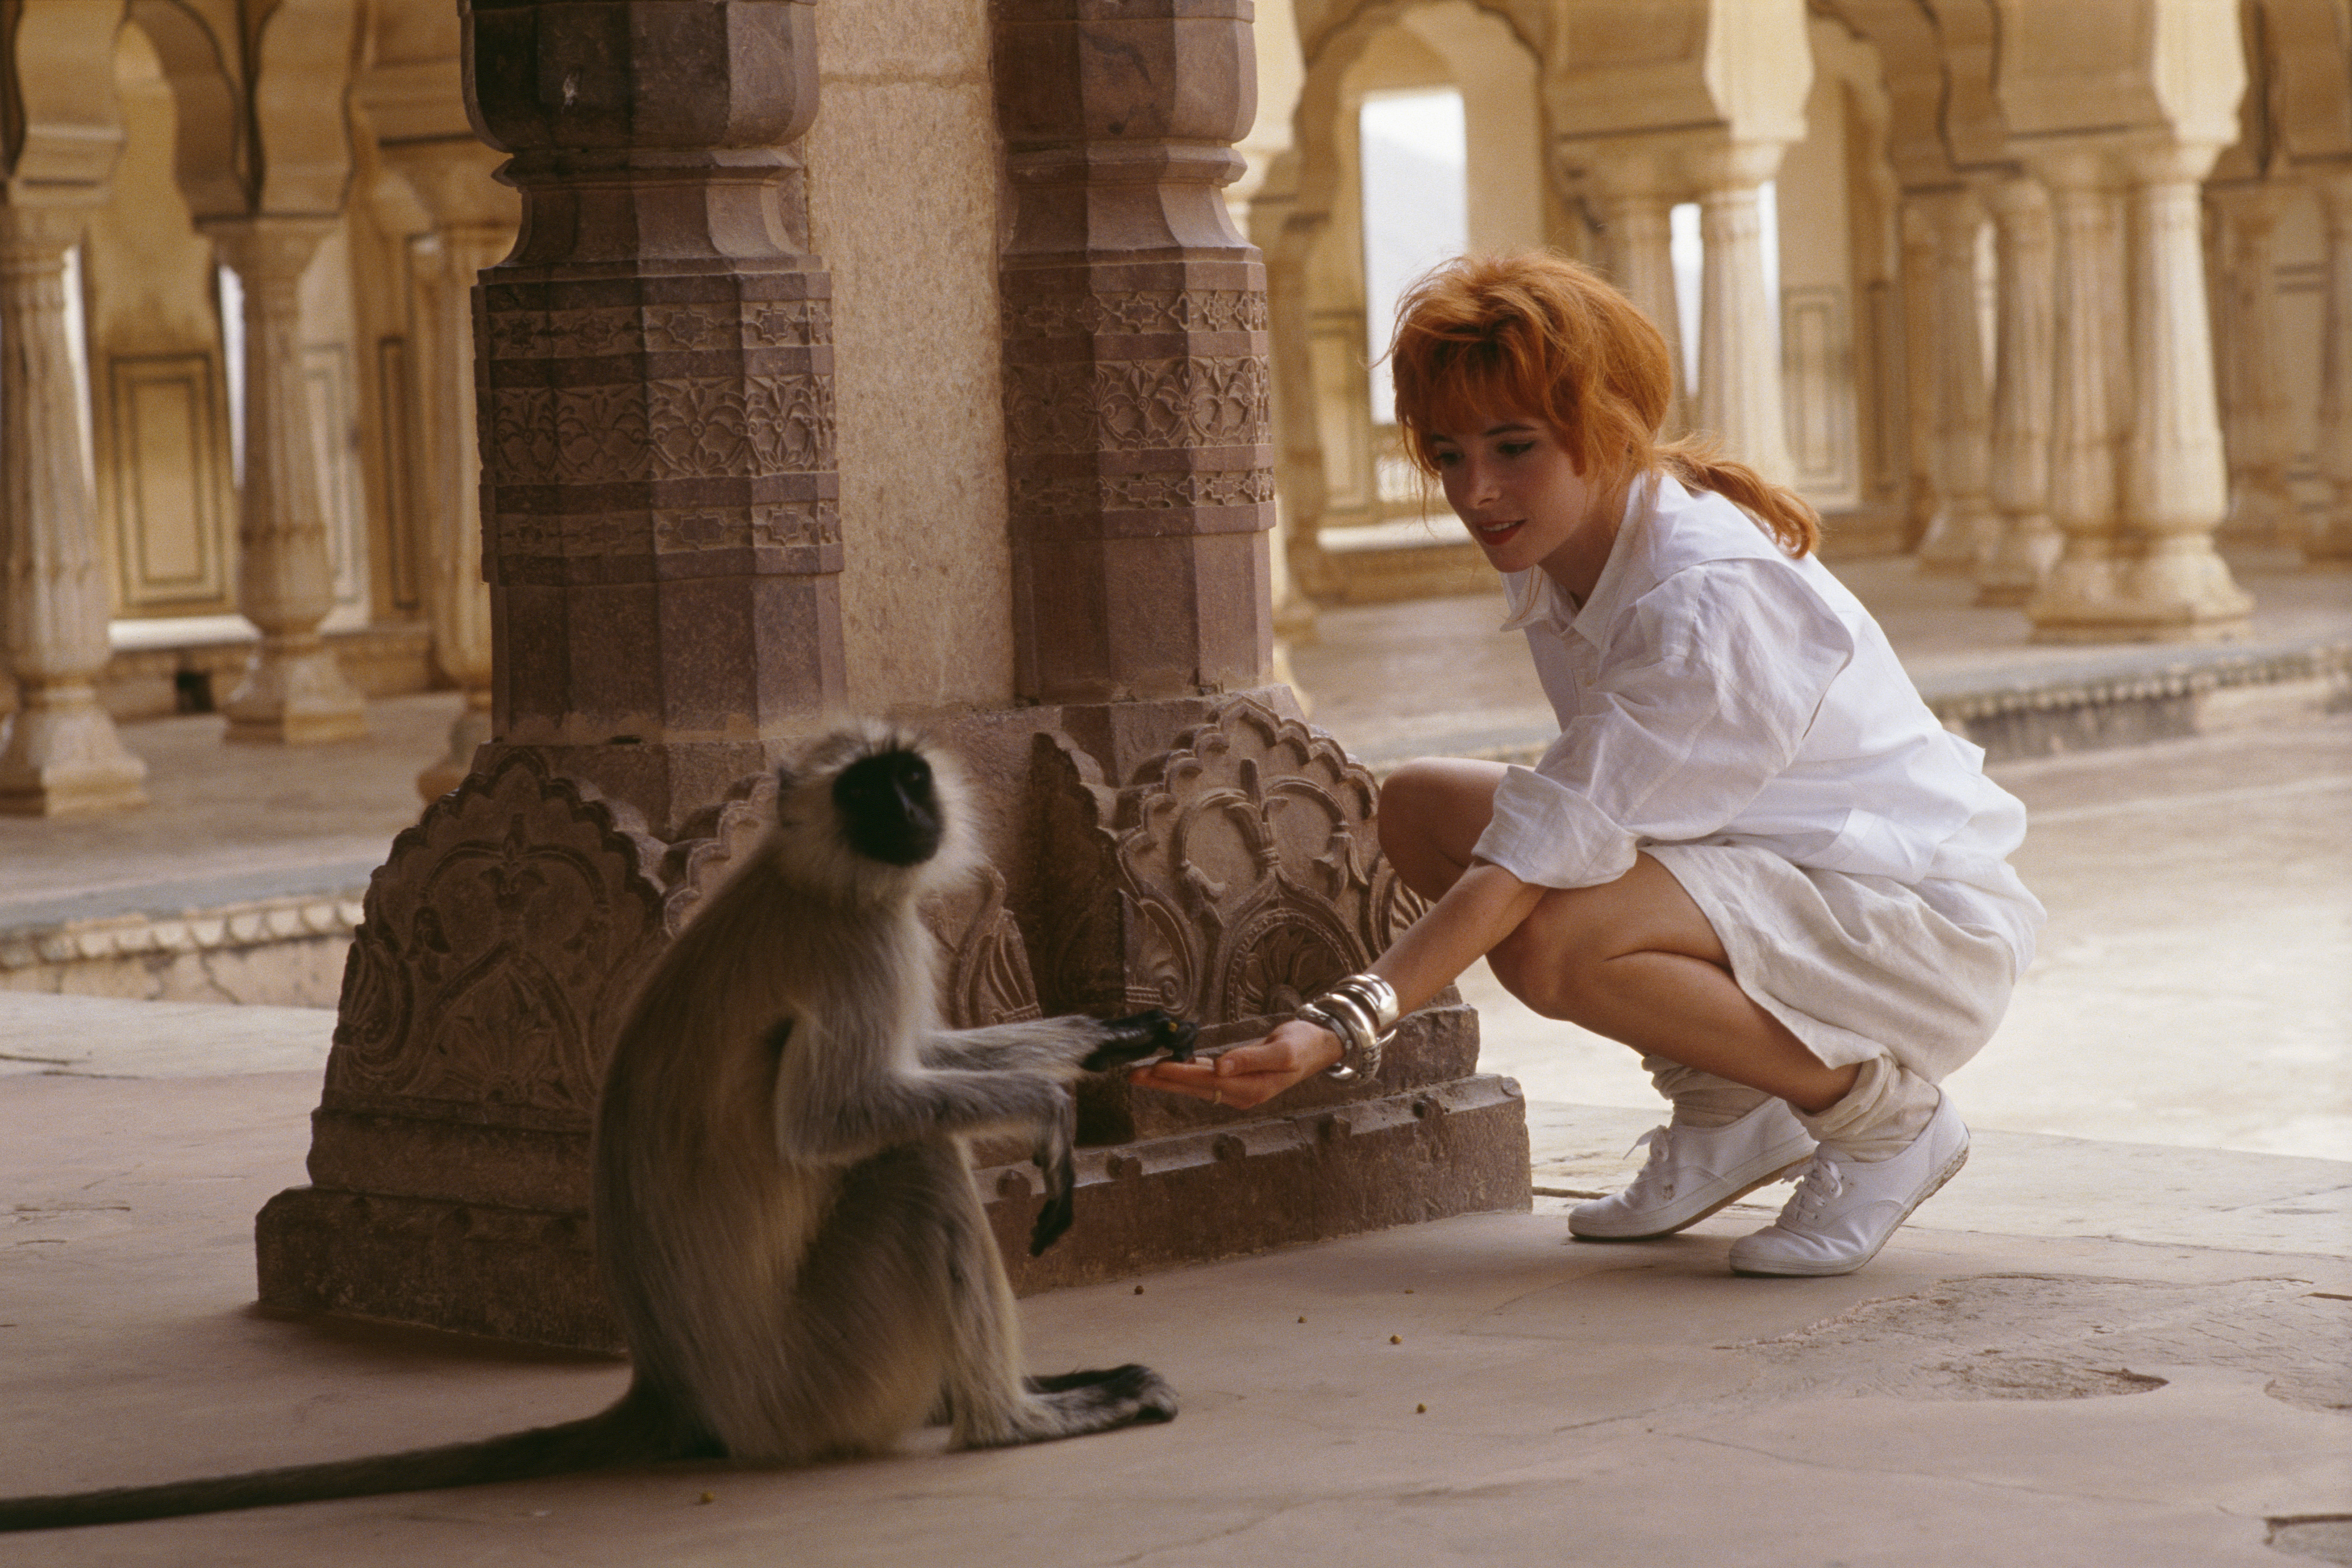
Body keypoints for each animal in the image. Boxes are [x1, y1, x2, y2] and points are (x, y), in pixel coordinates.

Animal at [4, 724, 1195, 1533]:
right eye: (867, 789)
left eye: (907, 777)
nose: (910, 810)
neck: (804, 870)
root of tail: (672, 1387)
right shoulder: (859, 939)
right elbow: (837, 1118)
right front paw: (1048, 1111)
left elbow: (926, 1062)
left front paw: (1112, 1037)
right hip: (824, 1379)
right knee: (909, 1161)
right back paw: (1014, 1417)